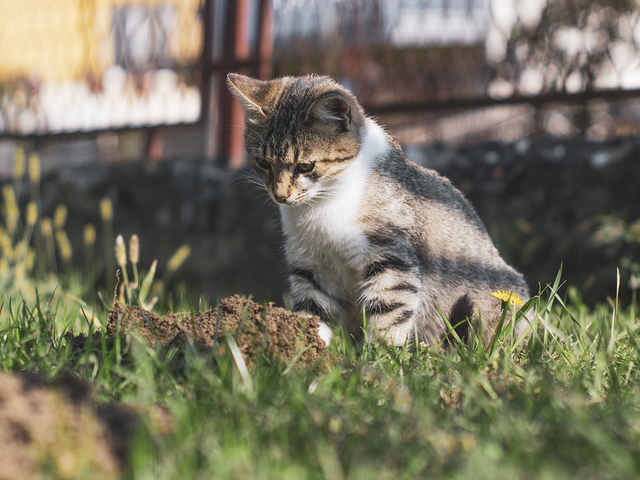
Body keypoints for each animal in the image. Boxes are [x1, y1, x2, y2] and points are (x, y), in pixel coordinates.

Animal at [228, 71, 532, 346]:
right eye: (263, 163)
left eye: (305, 166)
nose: (280, 195)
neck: (323, 204)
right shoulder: (309, 265)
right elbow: (311, 314)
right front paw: (305, 352)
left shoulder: (391, 260)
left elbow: (389, 316)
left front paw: (376, 362)